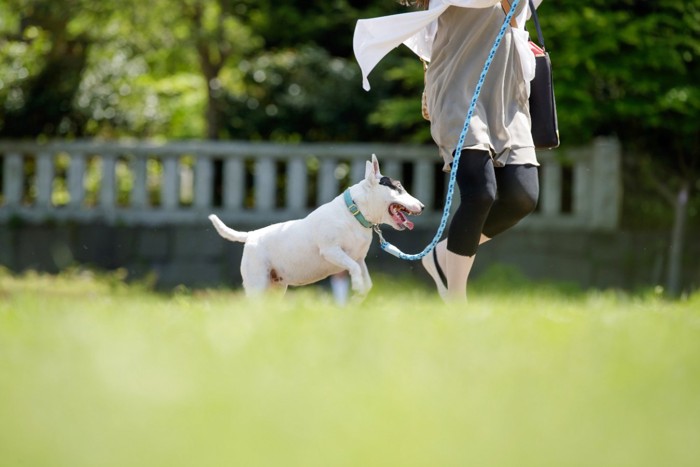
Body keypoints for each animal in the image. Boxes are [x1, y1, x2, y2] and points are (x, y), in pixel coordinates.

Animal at [208, 155, 424, 298]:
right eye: (398, 186)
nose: (422, 207)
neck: (353, 214)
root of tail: (251, 235)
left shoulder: (358, 257)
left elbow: (365, 277)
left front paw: (362, 293)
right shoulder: (331, 251)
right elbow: (353, 268)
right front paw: (355, 285)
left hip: (276, 285)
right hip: (257, 281)